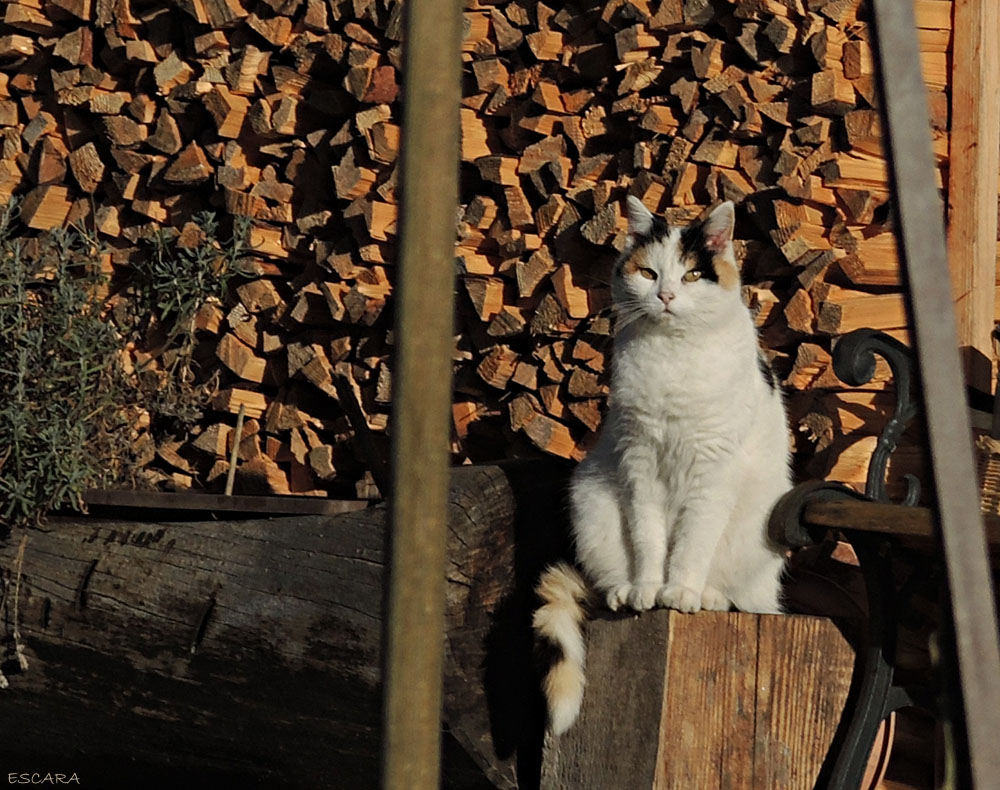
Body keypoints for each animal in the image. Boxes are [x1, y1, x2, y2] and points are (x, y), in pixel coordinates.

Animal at [536, 196, 792, 736]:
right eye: (649, 273)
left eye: (693, 275)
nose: (668, 295)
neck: (673, 354)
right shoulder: (640, 463)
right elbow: (650, 538)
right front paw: (649, 589)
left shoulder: (712, 472)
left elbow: (692, 541)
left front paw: (680, 591)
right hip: (590, 497)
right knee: (608, 573)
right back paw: (622, 591)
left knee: (737, 591)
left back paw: (708, 595)